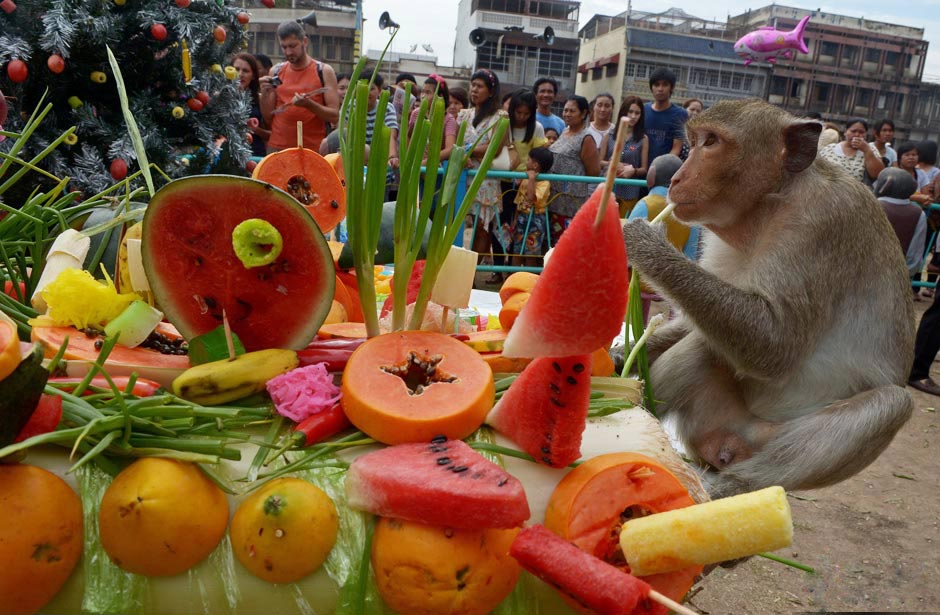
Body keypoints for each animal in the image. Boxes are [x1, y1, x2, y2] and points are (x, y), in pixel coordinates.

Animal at [620, 98, 916, 498]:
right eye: (693, 141)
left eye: (711, 142)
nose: (677, 178)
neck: (768, 206)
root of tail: (734, 444)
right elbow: (697, 326)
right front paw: (617, 356)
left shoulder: (820, 224)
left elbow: (774, 345)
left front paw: (645, 243)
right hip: (714, 422)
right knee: (705, 346)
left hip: (769, 445)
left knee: (891, 404)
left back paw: (727, 488)